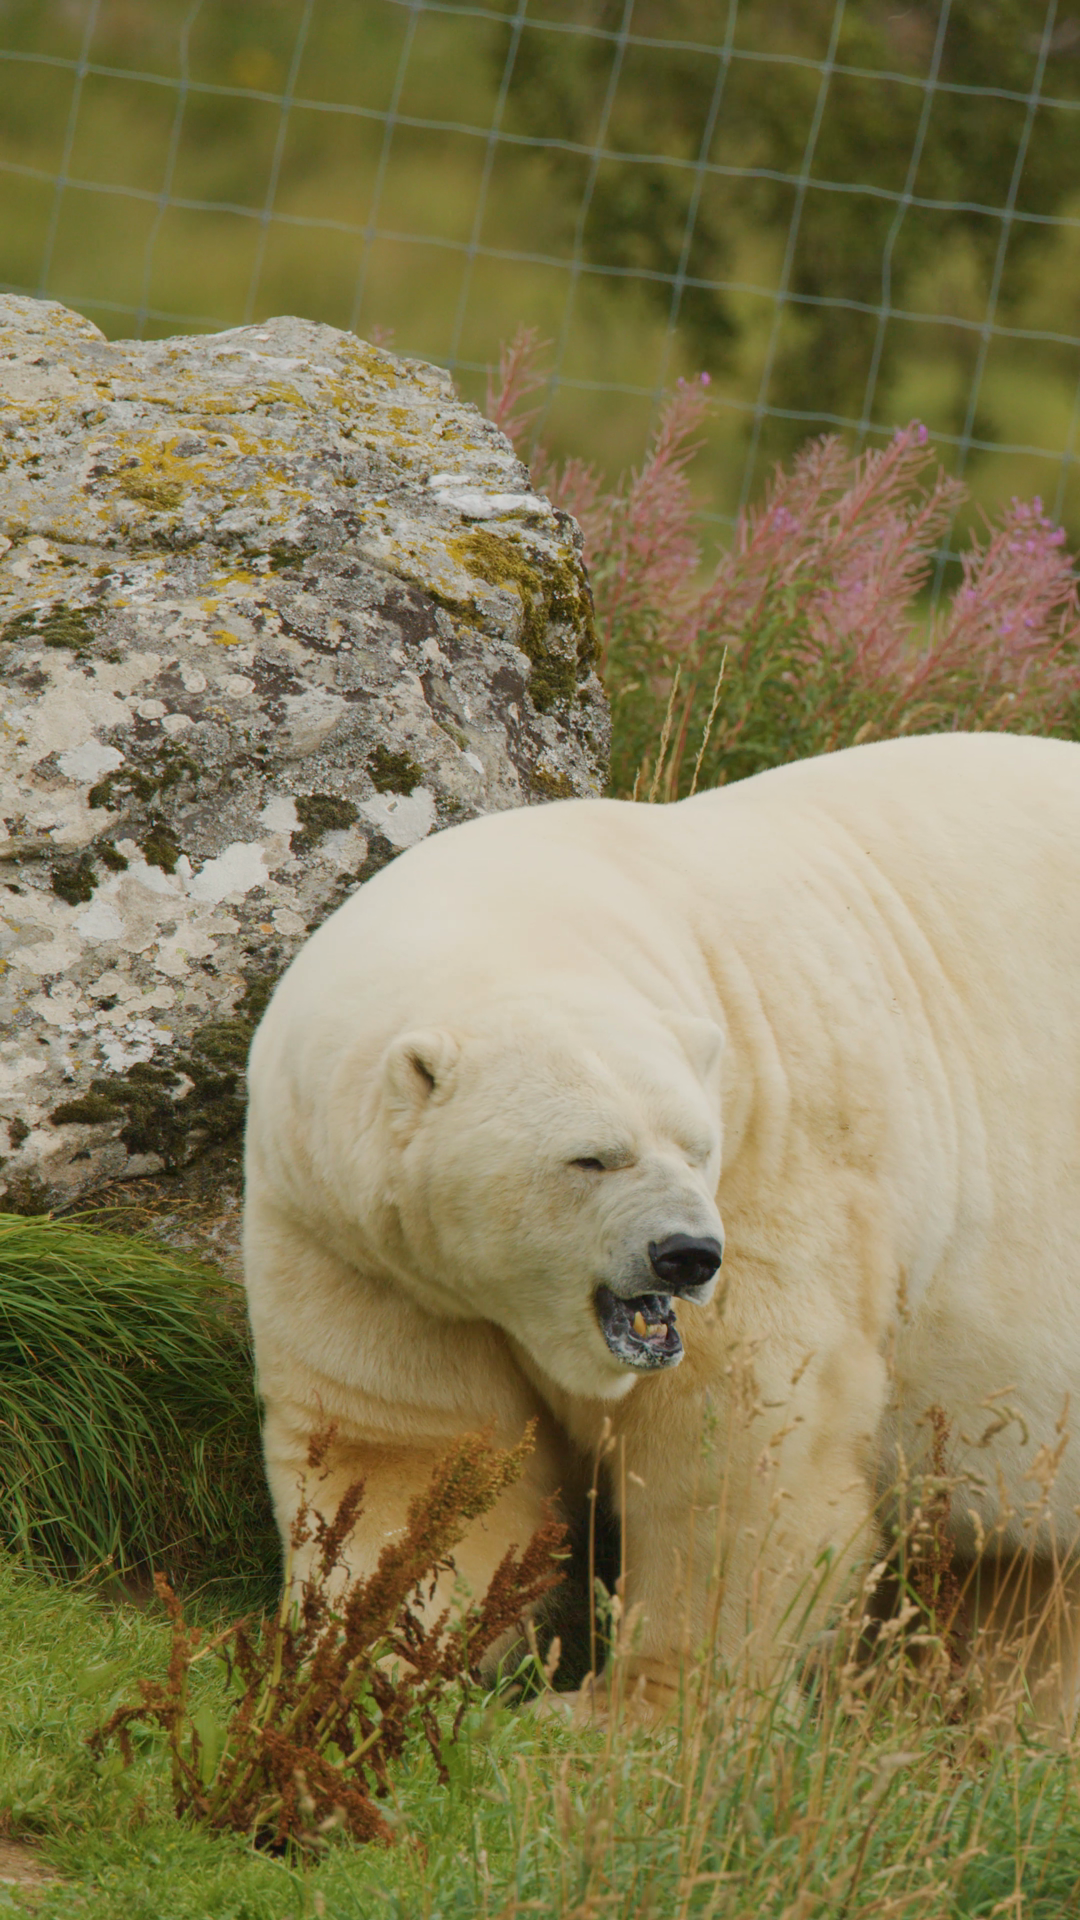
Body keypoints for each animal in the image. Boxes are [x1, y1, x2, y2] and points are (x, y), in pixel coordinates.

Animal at [243, 731, 1080, 1724]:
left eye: (695, 1143)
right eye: (592, 1157)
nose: (686, 1255)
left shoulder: (776, 1158)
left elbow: (734, 1442)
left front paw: (628, 1706)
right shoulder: (349, 1237)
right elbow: (406, 1450)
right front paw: (351, 1664)